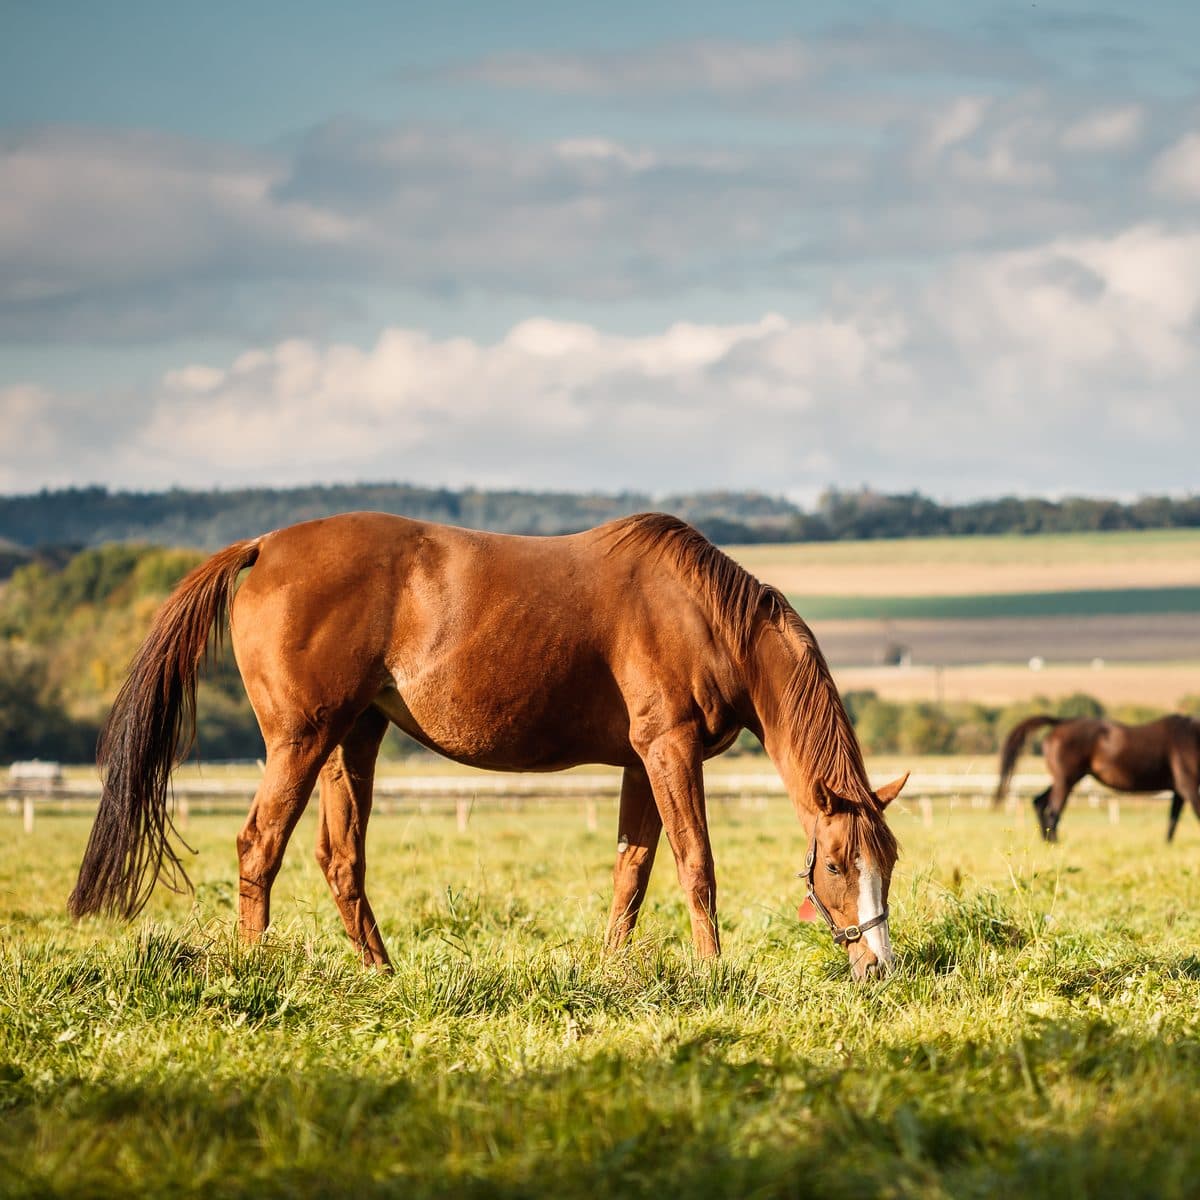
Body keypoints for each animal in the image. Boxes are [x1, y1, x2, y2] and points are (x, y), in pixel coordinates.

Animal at [68, 511, 906, 980]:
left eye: (888, 863)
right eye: (836, 865)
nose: (879, 969)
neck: (703, 616)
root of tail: (266, 546)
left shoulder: (641, 764)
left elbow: (631, 873)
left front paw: (614, 972)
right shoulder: (669, 751)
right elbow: (694, 865)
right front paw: (712, 972)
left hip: (351, 740)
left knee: (340, 860)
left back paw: (383, 973)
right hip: (300, 741)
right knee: (259, 845)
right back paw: (253, 971)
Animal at [995, 714, 1200, 843]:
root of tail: (1060, 722)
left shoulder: (1179, 791)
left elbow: (1172, 820)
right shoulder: (1188, 786)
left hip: (1065, 779)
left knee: (1040, 802)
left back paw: (1047, 842)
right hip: (1066, 779)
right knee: (1053, 811)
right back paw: (1055, 844)